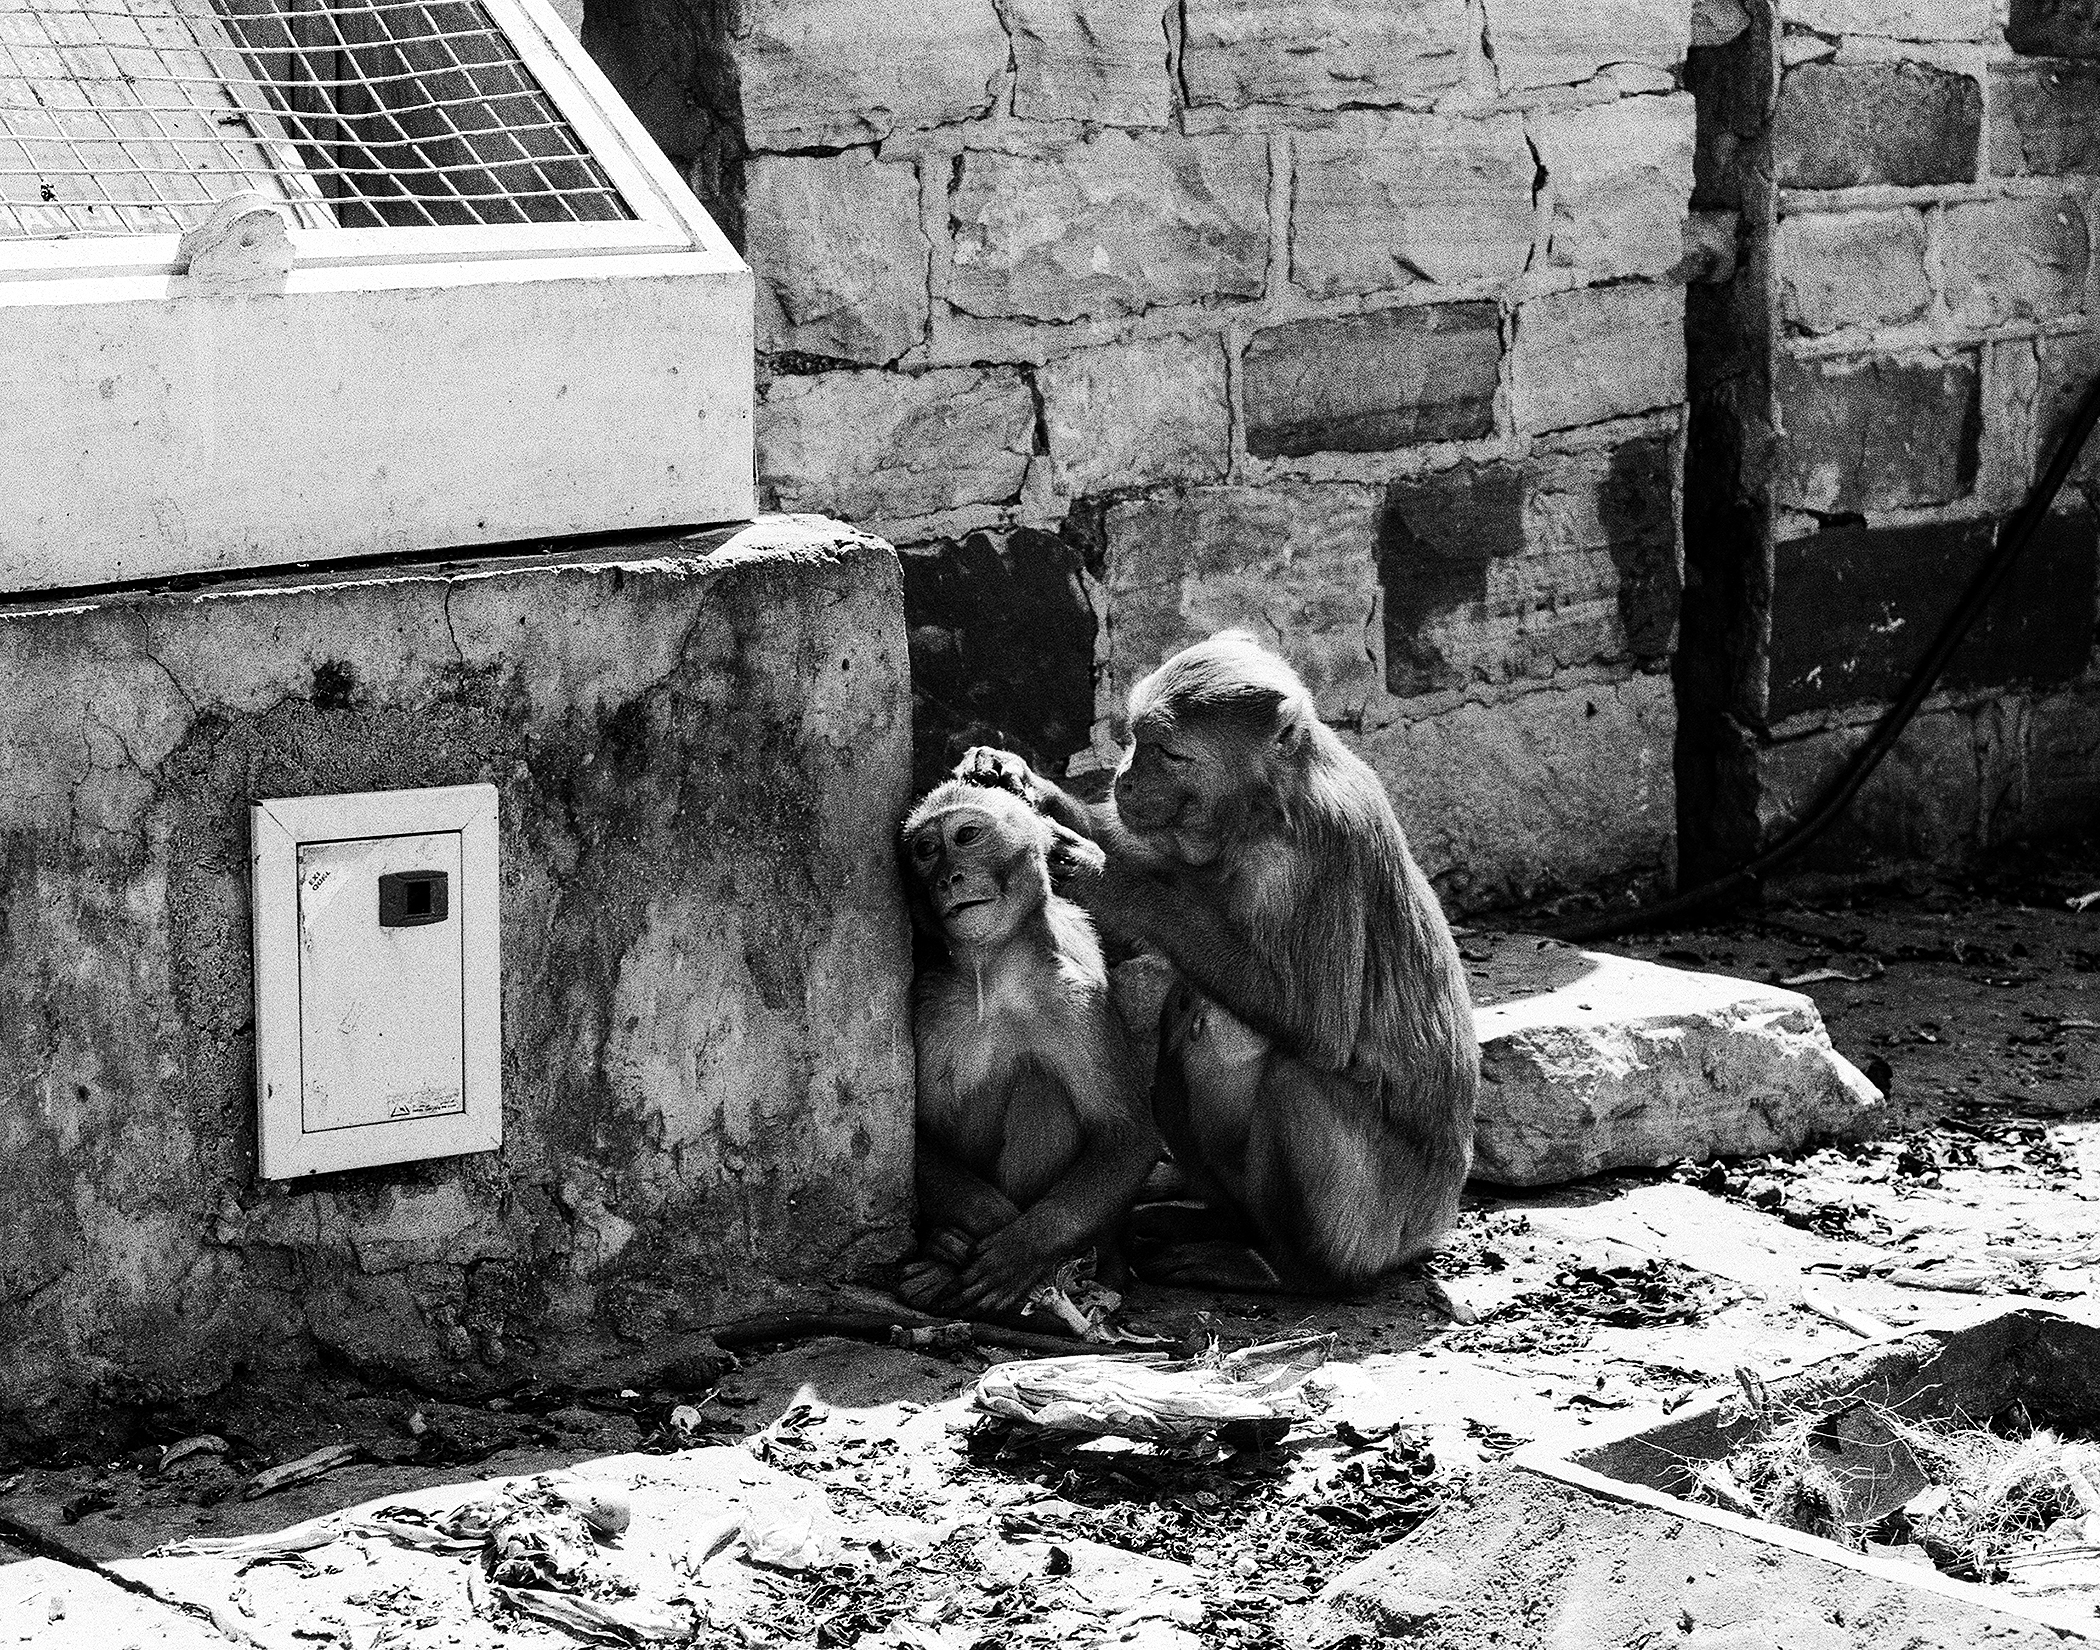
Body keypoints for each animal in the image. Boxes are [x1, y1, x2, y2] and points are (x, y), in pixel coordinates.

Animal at [897, 779, 1161, 1319]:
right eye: (926, 850)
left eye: (967, 835)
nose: (949, 877)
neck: (994, 977)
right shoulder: (928, 1000)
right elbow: (918, 1135)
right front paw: (982, 1226)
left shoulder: (1078, 1003)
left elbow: (1127, 1138)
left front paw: (1020, 1251)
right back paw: (943, 1257)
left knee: (1041, 1083)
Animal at [957, 630, 1478, 1293]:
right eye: (1134, 741)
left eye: (1167, 752)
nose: (1125, 780)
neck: (1267, 809)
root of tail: (1438, 1219)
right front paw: (1018, 780)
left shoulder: (1313, 853)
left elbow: (1318, 1025)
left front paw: (1101, 876)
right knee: (1182, 1016)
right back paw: (1222, 1225)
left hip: (1380, 1229)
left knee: (1280, 1067)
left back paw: (1288, 1272)